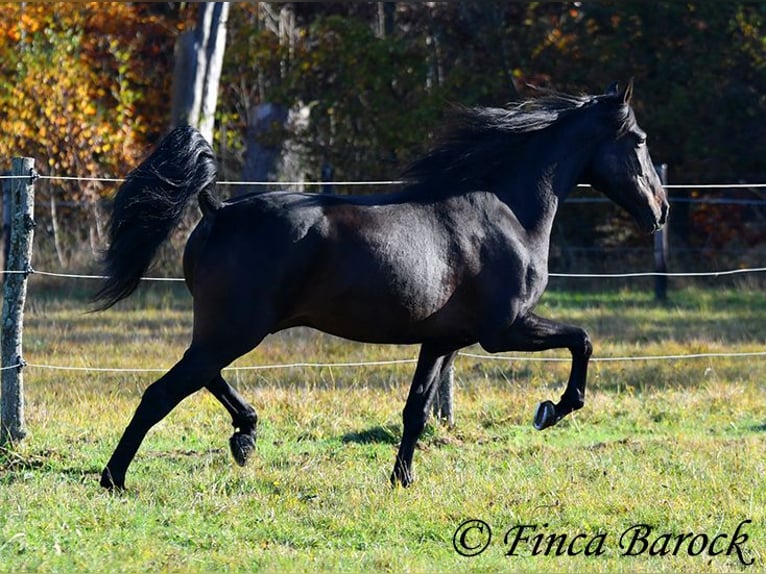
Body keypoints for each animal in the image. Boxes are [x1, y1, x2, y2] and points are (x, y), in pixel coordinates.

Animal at [96, 81, 668, 490]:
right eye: (639, 141)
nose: (659, 211)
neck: (508, 212)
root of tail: (215, 209)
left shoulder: (442, 340)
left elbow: (416, 410)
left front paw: (402, 479)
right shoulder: (503, 331)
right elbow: (582, 340)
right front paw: (551, 410)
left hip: (228, 330)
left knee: (200, 377)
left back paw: (245, 435)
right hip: (236, 329)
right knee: (164, 390)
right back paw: (115, 479)